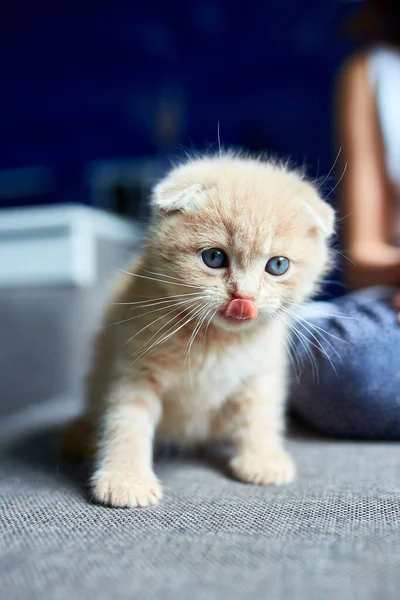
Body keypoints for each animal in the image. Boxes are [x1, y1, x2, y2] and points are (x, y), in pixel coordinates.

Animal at [61, 154, 332, 506]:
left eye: (278, 265)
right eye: (214, 257)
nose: (243, 298)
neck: (216, 340)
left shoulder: (261, 371)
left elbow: (260, 414)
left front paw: (262, 460)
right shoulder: (134, 366)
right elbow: (126, 419)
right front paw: (125, 479)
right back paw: (79, 438)